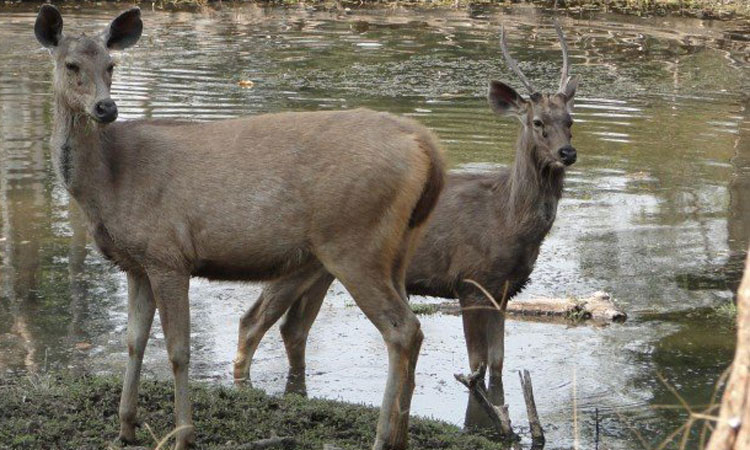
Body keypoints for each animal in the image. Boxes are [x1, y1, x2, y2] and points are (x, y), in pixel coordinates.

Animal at [33, 7, 446, 450]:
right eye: (71, 64)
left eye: (111, 65)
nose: (105, 108)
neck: (107, 183)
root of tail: (424, 144)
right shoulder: (136, 263)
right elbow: (133, 342)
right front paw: (126, 427)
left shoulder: (167, 254)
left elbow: (178, 351)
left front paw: (183, 434)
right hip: (398, 245)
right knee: (413, 329)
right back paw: (400, 436)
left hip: (353, 242)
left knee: (402, 329)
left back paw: (382, 437)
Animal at [236, 22, 580, 412]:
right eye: (537, 122)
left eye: (569, 120)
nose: (567, 153)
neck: (508, 219)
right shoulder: (470, 281)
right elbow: (476, 366)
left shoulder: (504, 290)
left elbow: (497, 364)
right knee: (254, 322)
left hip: (322, 268)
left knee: (293, 329)